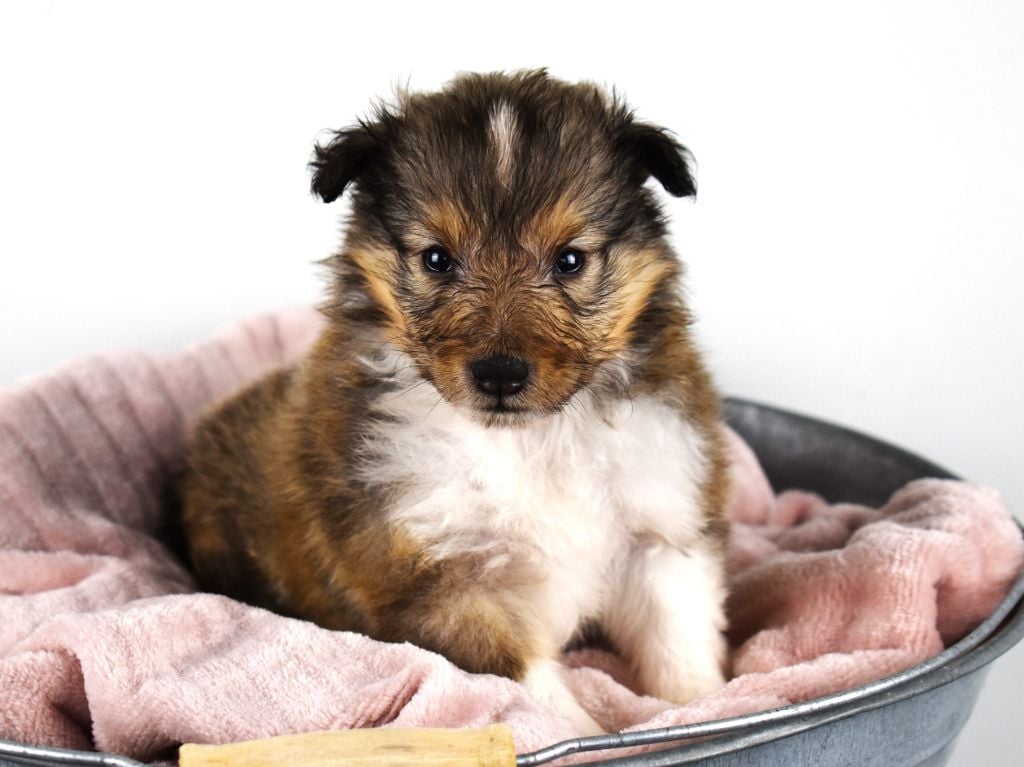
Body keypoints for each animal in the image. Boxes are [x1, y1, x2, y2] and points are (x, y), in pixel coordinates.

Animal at [182, 71, 729, 737]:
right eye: (437, 259)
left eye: (570, 259)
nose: (499, 374)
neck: (529, 440)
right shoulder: (439, 581)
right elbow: (537, 697)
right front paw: (591, 735)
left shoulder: (659, 530)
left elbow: (681, 642)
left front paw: (701, 706)